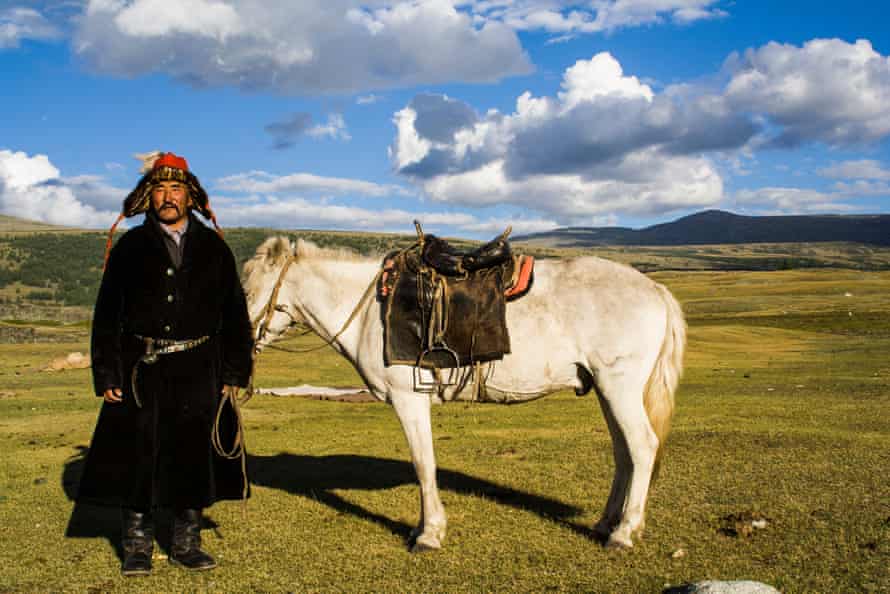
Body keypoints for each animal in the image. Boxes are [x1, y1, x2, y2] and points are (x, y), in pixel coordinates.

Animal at [239, 235, 684, 544]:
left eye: (245, 291)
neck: (369, 311)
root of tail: (656, 290)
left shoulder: (409, 399)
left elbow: (423, 463)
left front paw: (429, 534)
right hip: (607, 390)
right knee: (624, 453)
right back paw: (607, 523)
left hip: (620, 387)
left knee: (642, 446)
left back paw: (624, 533)